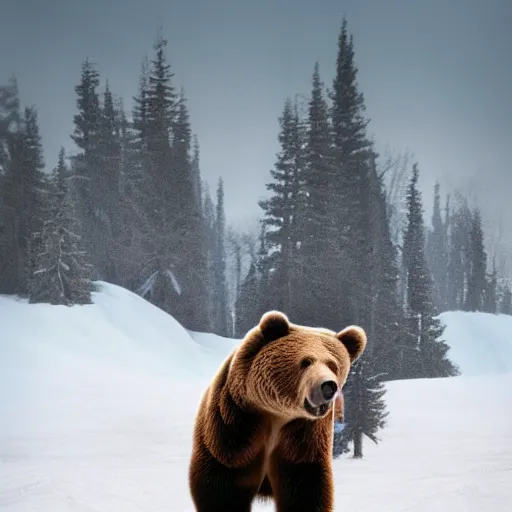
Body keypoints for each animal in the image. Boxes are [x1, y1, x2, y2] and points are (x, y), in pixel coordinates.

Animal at [190, 310, 366, 510]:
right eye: (306, 361)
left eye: (334, 365)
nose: (328, 387)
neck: (277, 416)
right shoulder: (232, 434)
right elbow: (223, 489)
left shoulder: (303, 442)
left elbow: (305, 490)